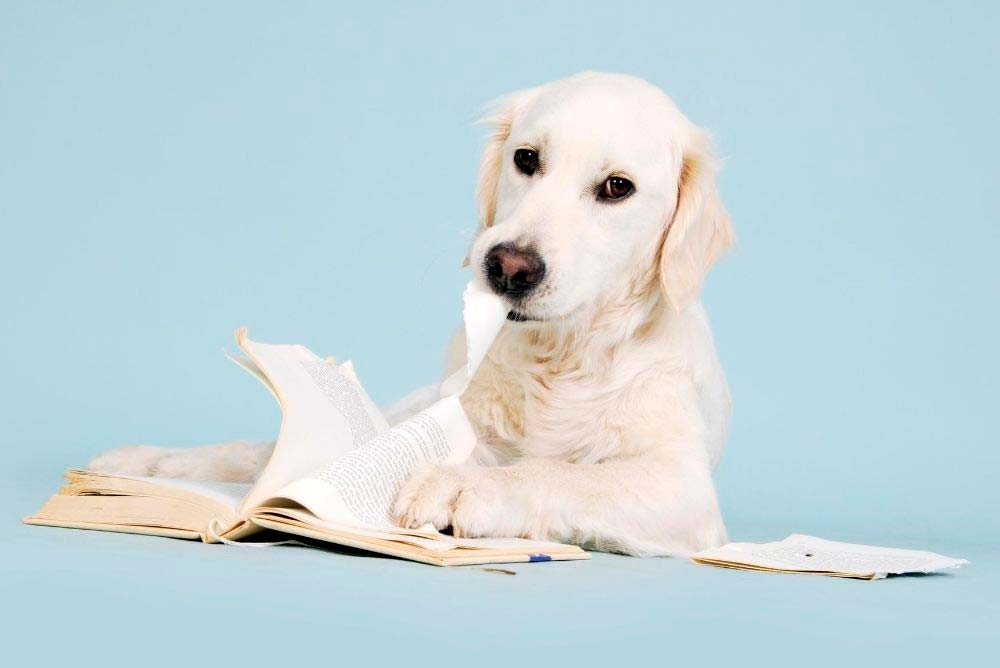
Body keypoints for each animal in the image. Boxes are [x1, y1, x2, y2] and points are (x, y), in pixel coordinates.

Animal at [92, 72, 736, 560]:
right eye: (526, 158)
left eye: (617, 187)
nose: (508, 267)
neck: (557, 358)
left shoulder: (684, 487)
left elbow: (563, 472)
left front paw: (465, 485)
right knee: (262, 449)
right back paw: (145, 462)